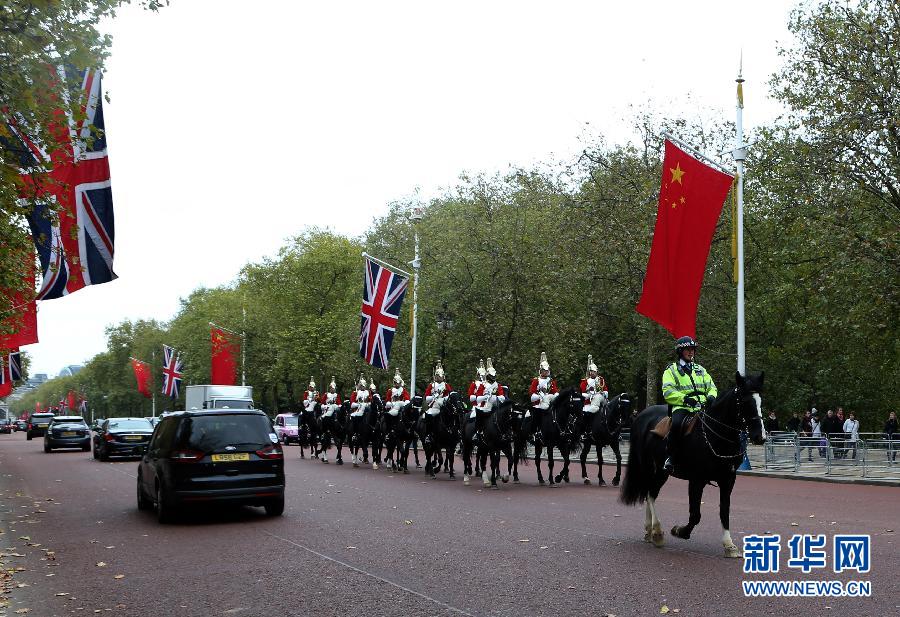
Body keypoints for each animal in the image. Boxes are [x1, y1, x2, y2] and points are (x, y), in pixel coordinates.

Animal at [620, 370, 768, 560]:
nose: (760, 436)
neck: (715, 435)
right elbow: (695, 514)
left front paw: (729, 545)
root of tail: (642, 415)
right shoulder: (697, 480)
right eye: (744, 401)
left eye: (760, 400)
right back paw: (657, 532)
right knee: (650, 494)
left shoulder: (728, 480)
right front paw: (680, 531)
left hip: (659, 471)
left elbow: (724, 511)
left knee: (649, 493)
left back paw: (649, 531)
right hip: (653, 469)